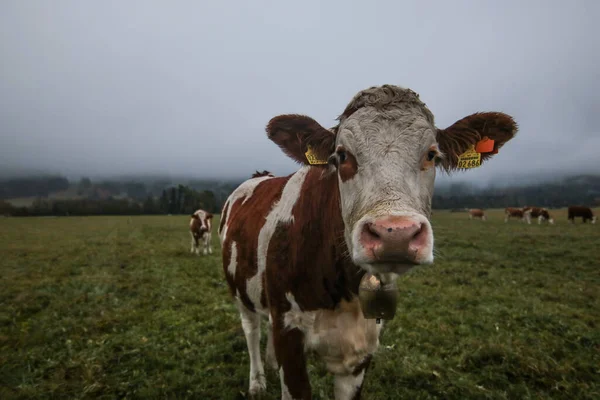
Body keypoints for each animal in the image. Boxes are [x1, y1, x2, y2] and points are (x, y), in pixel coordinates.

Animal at [218, 84, 516, 400]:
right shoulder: (289, 333)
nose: (395, 234)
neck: (340, 286)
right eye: (342, 155)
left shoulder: (361, 349)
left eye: (431, 154)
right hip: (240, 288)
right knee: (251, 330)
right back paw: (257, 381)